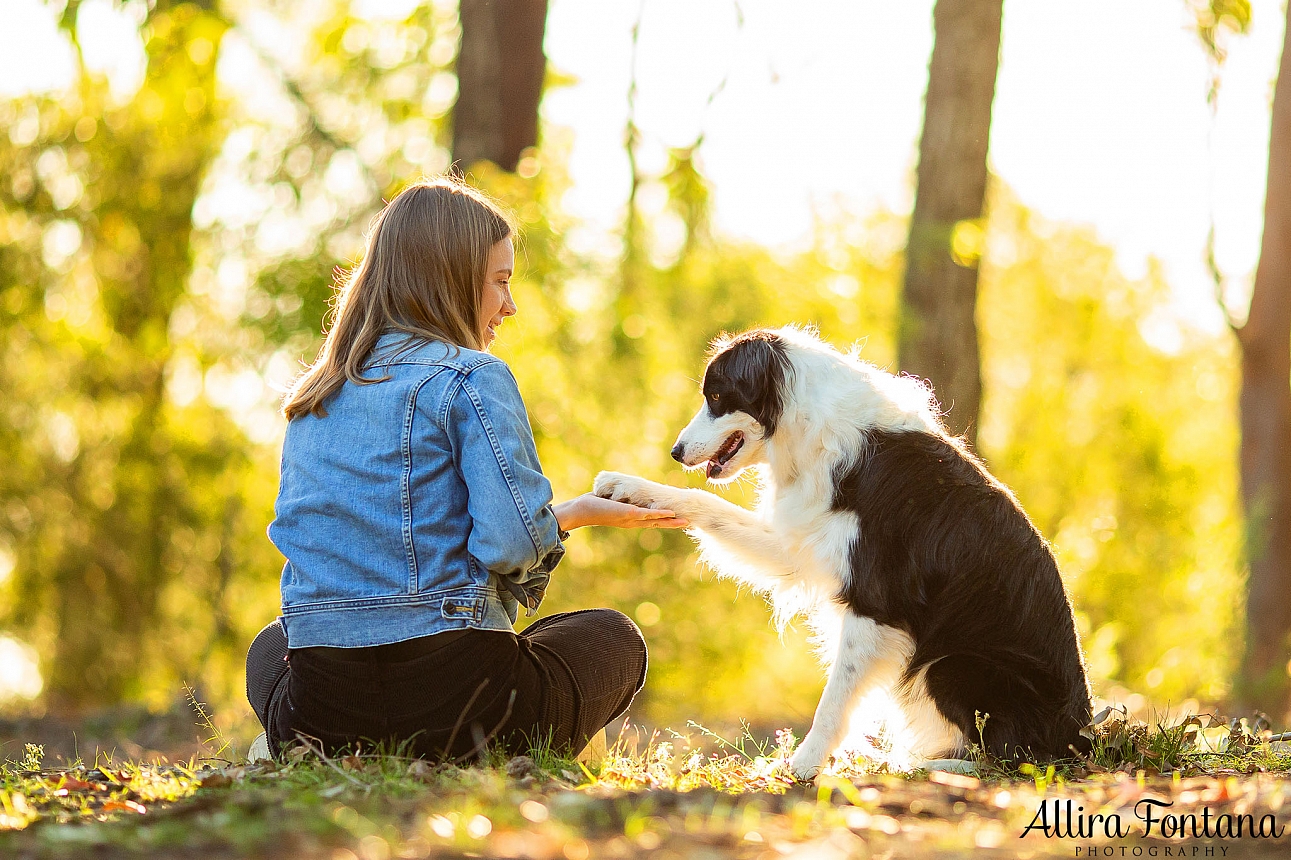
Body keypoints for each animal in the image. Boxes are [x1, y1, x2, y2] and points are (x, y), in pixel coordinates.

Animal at [593, 322, 1089, 774]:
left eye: (716, 397)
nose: (675, 452)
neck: (813, 429)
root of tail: (1081, 736)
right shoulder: (801, 545)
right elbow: (705, 502)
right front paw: (628, 487)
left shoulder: (876, 604)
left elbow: (833, 700)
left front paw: (802, 766)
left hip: (951, 664)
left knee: (1005, 758)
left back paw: (912, 765)